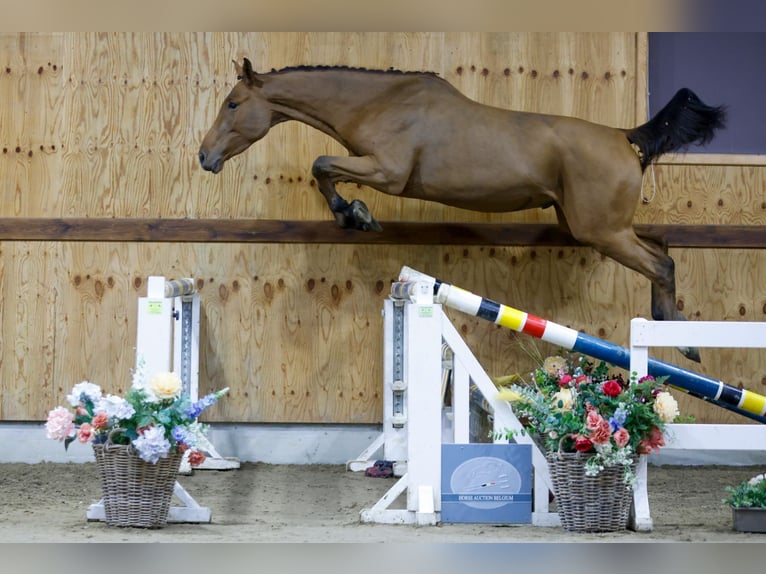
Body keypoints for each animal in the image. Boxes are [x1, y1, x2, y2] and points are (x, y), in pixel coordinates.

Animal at [198, 59, 728, 364]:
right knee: (661, 246)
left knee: (662, 262)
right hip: (593, 227)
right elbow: (324, 167)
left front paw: (355, 214)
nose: (205, 157)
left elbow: (322, 165)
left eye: (233, 103)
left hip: (602, 231)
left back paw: (683, 340)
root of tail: (626, 137)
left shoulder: (387, 171)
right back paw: (672, 325)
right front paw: (352, 214)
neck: (380, 103)